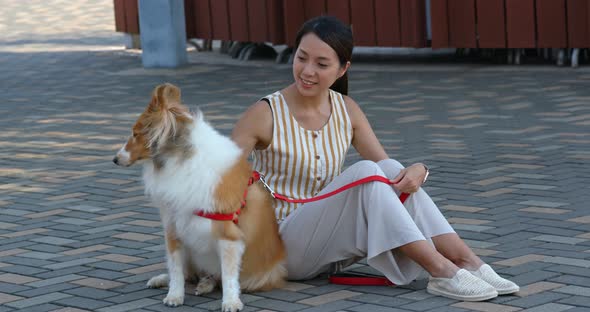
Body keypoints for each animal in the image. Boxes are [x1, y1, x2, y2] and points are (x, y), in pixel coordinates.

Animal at [112, 83, 286, 312]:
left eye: (135, 133)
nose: (114, 159)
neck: (182, 160)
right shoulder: (174, 229)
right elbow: (176, 271)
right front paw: (174, 296)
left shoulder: (228, 235)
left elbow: (229, 277)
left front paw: (231, 302)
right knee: (186, 274)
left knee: (216, 277)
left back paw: (205, 284)